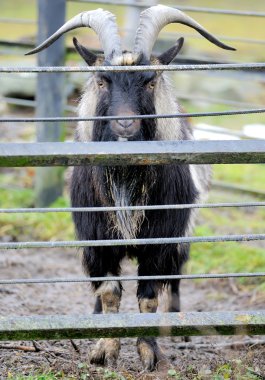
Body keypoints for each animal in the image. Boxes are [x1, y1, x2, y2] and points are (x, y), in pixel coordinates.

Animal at [26, 4, 233, 370]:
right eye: (101, 80)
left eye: (150, 81)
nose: (124, 124)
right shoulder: (97, 240)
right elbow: (109, 292)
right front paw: (103, 350)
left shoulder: (161, 240)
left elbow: (148, 298)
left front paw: (150, 354)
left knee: (176, 275)